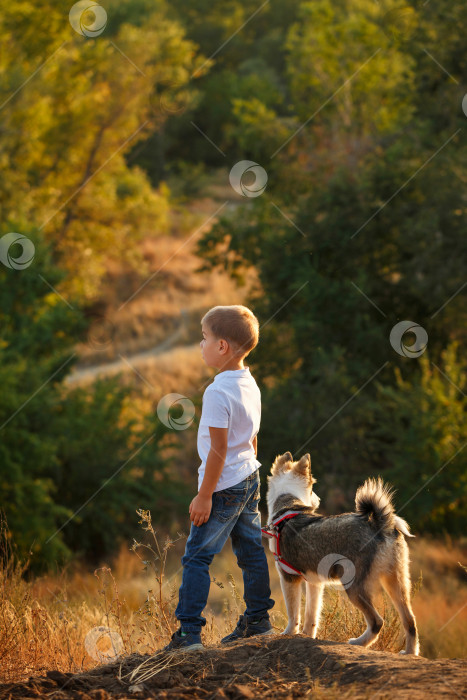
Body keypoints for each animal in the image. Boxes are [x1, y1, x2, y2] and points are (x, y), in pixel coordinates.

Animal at [266, 454, 422, 656]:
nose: (318, 499)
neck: (288, 505)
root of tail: (380, 524)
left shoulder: (288, 578)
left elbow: (293, 613)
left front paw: (289, 633)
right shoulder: (315, 583)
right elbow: (311, 615)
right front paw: (306, 635)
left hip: (353, 586)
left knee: (377, 621)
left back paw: (359, 642)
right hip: (396, 582)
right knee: (410, 621)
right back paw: (410, 652)